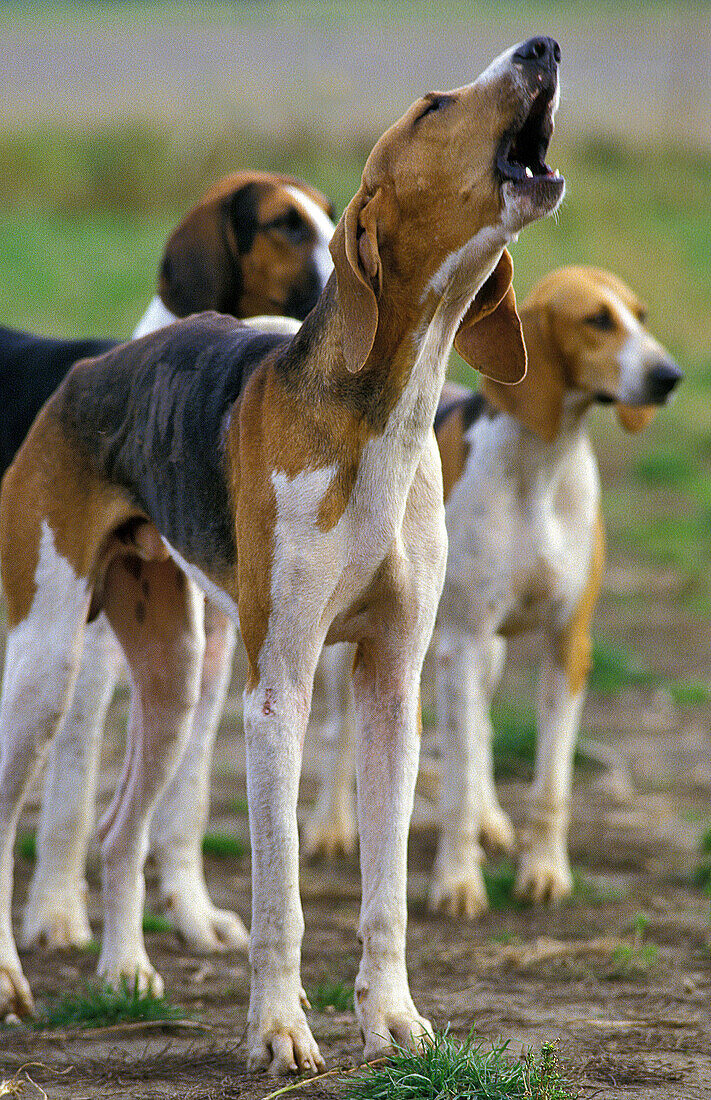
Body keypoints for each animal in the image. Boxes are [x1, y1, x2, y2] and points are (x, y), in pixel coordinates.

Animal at [0, 169, 336, 954]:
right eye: (285, 225)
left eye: (334, 216)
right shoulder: (90, 663)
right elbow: (70, 796)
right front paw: (57, 914)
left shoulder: (211, 657)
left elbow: (184, 802)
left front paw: (190, 911)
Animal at [305, 264, 686, 919]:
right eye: (597, 320)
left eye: (639, 316)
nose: (669, 377)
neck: (543, 465)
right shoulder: (462, 641)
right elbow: (453, 782)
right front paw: (458, 883)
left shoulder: (567, 646)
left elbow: (550, 783)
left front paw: (545, 871)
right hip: (365, 647)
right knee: (342, 735)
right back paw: (333, 825)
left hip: (488, 654)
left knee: (479, 734)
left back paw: (490, 819)